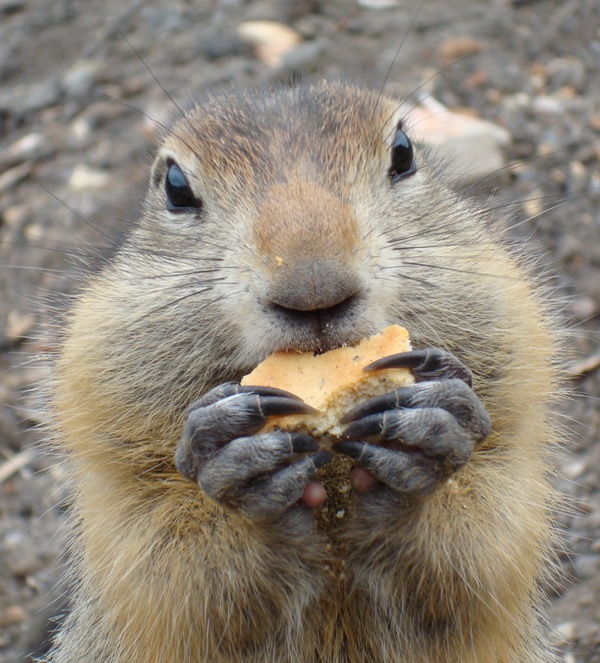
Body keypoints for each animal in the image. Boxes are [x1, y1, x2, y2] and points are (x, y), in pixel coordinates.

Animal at [44, 83, 560, 663]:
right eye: (176, 187)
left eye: (403, 153)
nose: (314, 289)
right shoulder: (118, 471)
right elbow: (171, 570)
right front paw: (235, 462)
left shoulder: (513, 414)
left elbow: (488, 538)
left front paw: (432, 429)